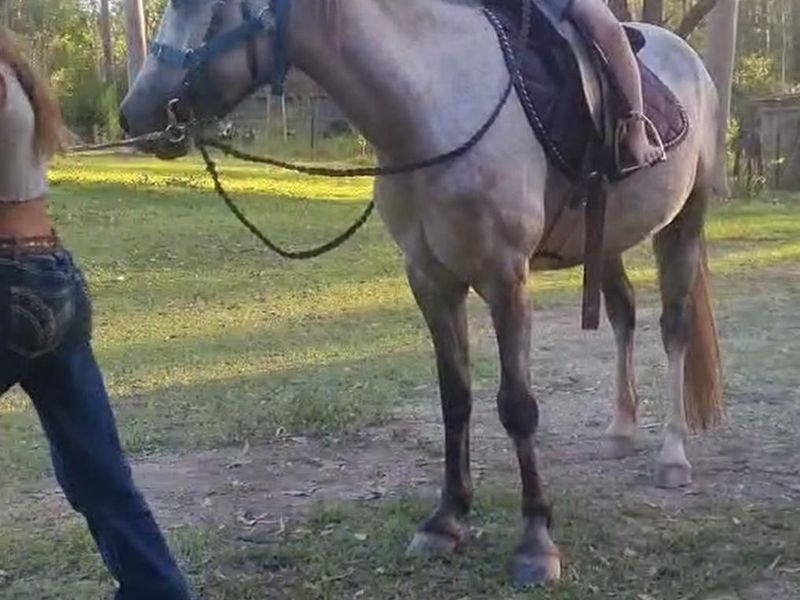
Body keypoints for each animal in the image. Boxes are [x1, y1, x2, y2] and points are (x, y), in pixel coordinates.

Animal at [120, 0, 723, 585]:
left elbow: (518, 406)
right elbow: (455, 399)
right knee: (623, 315)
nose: (135, 114)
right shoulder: (431, 282)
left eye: (208, 5)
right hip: (608, 240)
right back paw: (621, 430)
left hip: (683, 223)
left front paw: (536, 541)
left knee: (674, 331)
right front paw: (447, 520)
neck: (433, 103)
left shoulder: (506, 277)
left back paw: (673, 457)